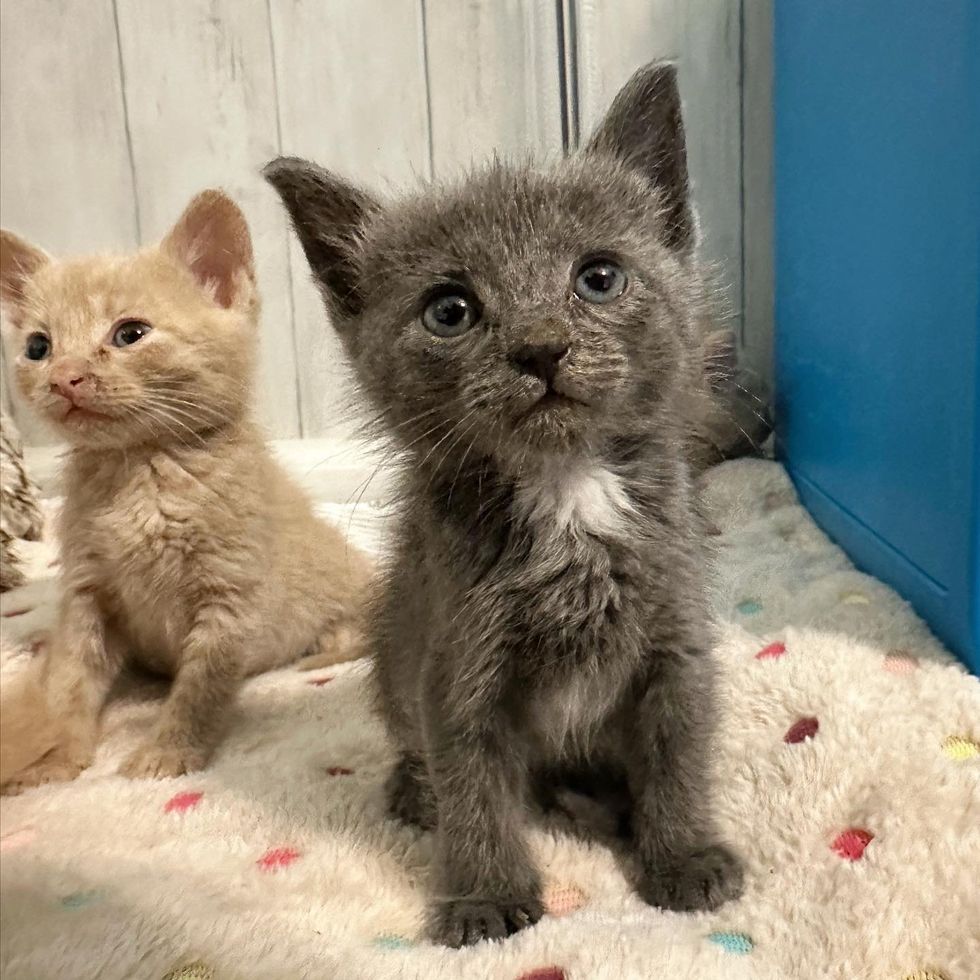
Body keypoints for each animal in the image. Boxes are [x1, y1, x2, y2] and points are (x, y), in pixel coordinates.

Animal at [0, 191, 374, 788]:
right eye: (38, 347)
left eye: (130, 333)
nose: (64, 378)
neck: (140, 471)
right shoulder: (87, 592)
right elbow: (70, 676)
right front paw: (56, 754)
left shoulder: (230, 595)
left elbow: (201, 686)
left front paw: (167, 752)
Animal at [266, 63, 744, 948]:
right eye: (449, 310)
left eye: (599, 277)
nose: (541, 346)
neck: (567, 489)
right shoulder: (458, 663)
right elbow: (476, 788)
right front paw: (485, 897)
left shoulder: (677, 638)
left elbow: (680, 751)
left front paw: (685, 854)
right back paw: (418, 791)